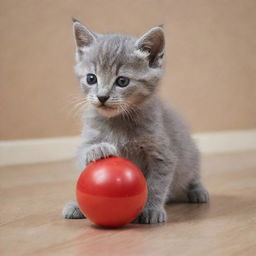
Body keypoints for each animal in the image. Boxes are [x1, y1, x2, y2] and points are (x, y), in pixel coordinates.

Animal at [63, 19, 209, 224]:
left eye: (122, 81)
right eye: (91, 78)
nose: (102, 97)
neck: (118, 121)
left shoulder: (163, 155)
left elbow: (156, 184)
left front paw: (151, 209)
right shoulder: (87, 139)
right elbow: (84, 153)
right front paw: (98, 149)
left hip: (190, 153)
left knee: (192, 173)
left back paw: (197, 192)